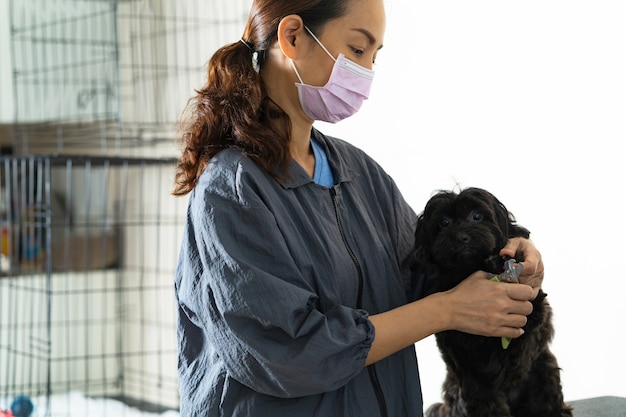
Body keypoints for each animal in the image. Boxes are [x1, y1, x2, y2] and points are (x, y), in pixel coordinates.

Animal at [410, 188, 572, 416]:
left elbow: (533, 312)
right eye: (444, 222)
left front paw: (499, 260)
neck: (468, 270)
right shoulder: (470, 369)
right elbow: (487, 402)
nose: (461, 237)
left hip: (544, 370)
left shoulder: (532, 314)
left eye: (477, 216)